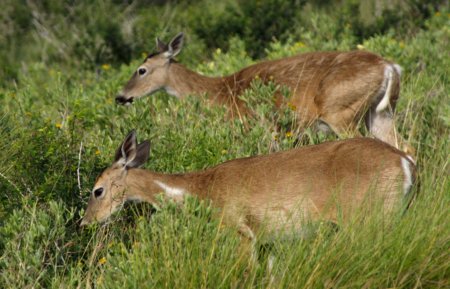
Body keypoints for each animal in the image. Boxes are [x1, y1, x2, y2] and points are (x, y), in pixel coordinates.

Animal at [80, 130, 414, 243]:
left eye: (97, 190)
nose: (84, 223)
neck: (200, 192)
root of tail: (406, 164)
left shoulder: (239, 230)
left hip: (372, 216)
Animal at [114, 32, 414, 154]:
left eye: (141, 70)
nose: (120, 96)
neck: (219, 92)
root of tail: (390, 67)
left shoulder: (252, 126)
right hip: (381, 112)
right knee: (406, 147)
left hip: (341, 112)